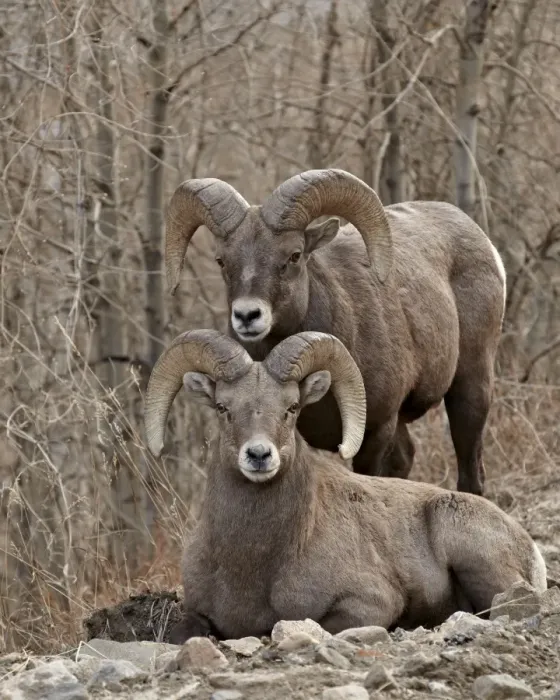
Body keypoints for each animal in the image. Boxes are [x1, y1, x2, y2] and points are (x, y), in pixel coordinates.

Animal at [144, 329, 546, 644]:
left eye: (292, 408)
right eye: (223, 408)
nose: (259, 455)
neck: (253, 561)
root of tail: (528, 546)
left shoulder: (369, 603)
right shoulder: (196, 614)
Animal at [163, 168, 506, 496]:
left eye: (294, 255)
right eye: (222, 260)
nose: (247, 315)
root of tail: (484, 244)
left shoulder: (375, 432)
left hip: (470, 390)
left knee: (471, 473)